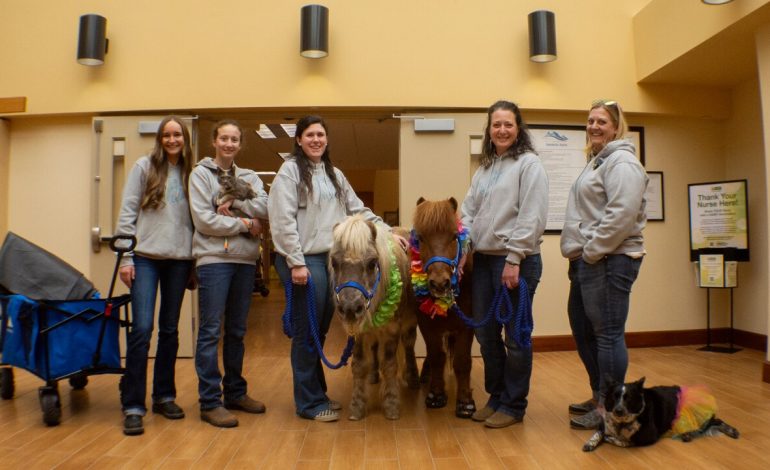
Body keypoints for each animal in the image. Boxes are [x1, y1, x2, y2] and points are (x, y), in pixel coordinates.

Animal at [328, 215, 416, 420]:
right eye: (334, 262)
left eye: (371, 263)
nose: (350, 308)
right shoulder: (359, 334)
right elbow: (359, 366)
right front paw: (357, 405)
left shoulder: (392, 331)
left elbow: (390, 366)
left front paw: (391, 405)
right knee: (375, 348)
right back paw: (374, 375)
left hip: (410, 324)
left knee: (409, 345)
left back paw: (412, 377)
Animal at [408, 196, 474, 416]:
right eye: (420, 238)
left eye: (454, 236)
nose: (439, 284)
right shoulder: (428, 326)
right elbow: (437, 356)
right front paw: (436, 394)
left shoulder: (467, 326)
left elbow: (463, 361)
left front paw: (465, 401)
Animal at [584, 374, 736, 452]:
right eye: (614, 397)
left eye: (629, 398)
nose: (618, 410)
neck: (622, 423)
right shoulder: (604, 425)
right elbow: (598, 433)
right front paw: (591, 443)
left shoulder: (648, 437)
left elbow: (626, 441)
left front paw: (612, 439)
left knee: (716, 421)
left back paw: (732, 431)